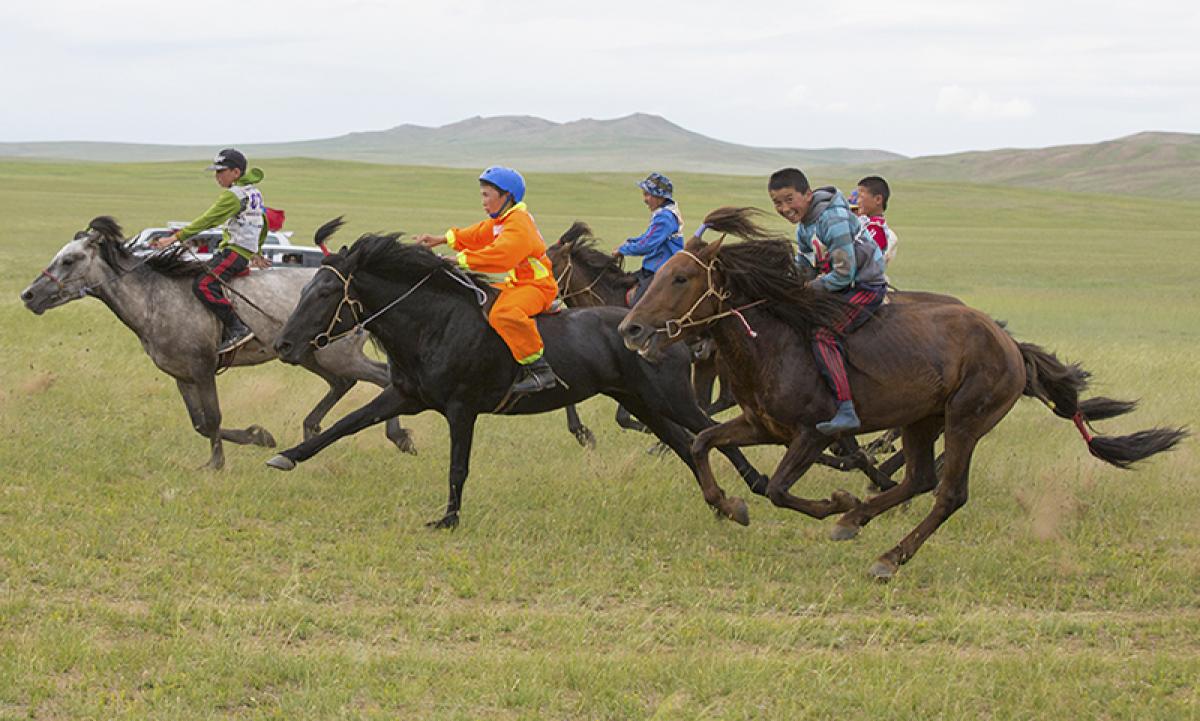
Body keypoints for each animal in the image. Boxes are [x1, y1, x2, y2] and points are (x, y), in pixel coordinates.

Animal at [17, 215, 412, 470]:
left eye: (70, 259)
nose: (28, 295)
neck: (155, 299)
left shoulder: (203, 368)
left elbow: (212, 417)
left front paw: (219, 463)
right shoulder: (181, 375)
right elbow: (200, 423)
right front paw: (258, 437)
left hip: (336, 354)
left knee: (380, 377)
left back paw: (399, 436)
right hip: (309, 355)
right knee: (343, 383)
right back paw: (311, 427)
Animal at [624, 206, 1185, 578]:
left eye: (680, 277)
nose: (631, 329)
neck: (775, 341)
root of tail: (1009, 343)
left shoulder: (812, 432)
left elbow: (780, 488)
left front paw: (834, 500)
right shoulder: (762, 425)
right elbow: (703, 445)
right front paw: (730, 507)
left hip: (966, 419)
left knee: (948, 492)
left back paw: (887, 556)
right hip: (921, 420)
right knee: (918, 478)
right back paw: (856, 521)